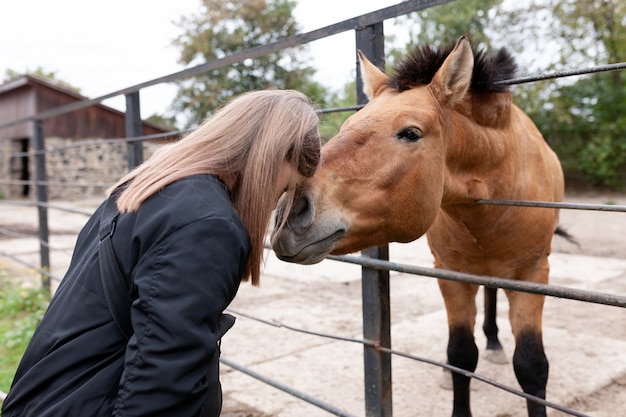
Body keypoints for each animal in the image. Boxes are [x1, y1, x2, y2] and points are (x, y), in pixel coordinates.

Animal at [270, 36, 564, 416]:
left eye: (410, 133)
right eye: (346, 128)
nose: (289, 214)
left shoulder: (532, 275)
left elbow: (531, 366)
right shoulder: (452, 274)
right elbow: (461, 355)